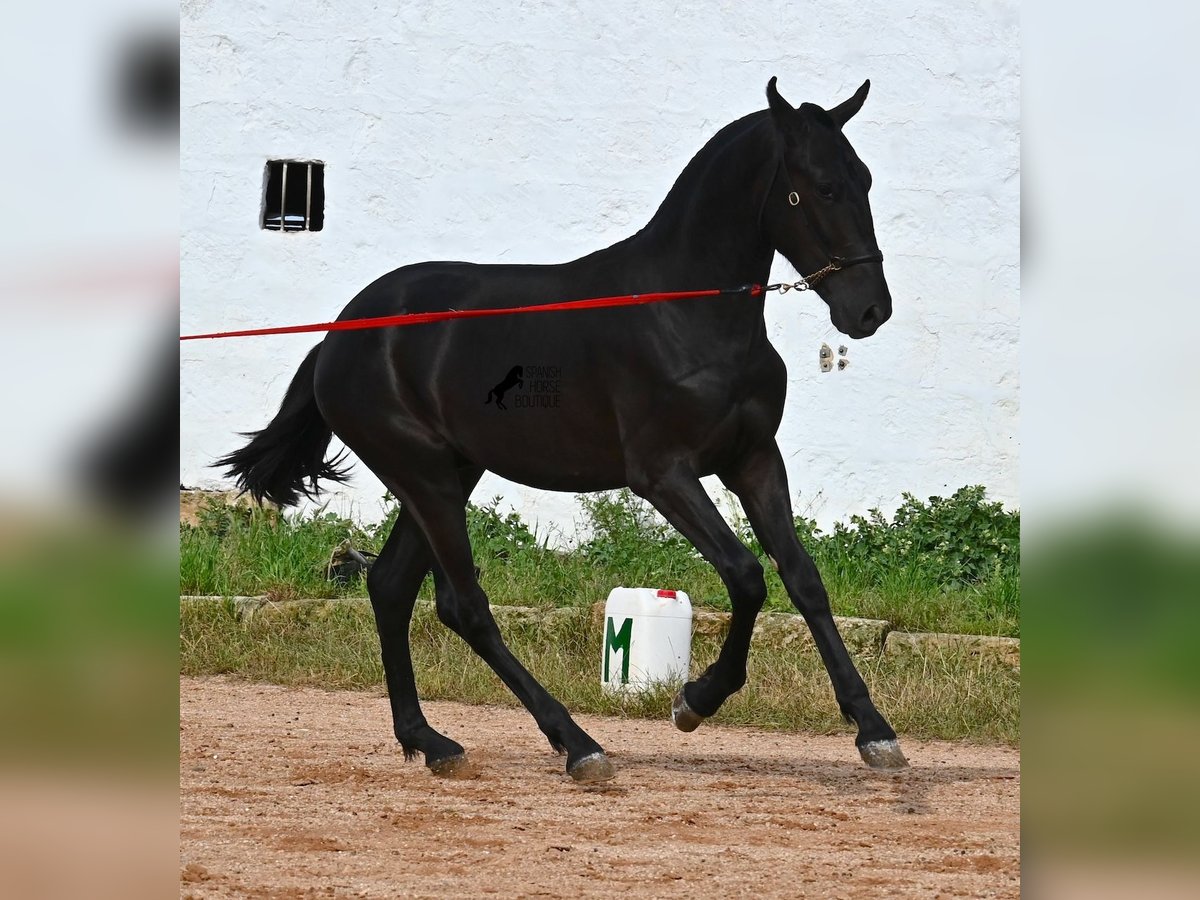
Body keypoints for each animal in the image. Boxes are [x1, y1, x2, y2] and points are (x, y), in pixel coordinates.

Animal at [219, 77, 906, 783]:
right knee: (463, 606)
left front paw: (873, 730)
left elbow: (803, 579)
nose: (869, 310)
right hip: (423, 474)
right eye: (822, 187)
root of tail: (337, 335)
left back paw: (430, 741)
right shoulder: (664, 473)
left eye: (865, 178)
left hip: (447, 472)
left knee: (390, 588)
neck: (683, 310)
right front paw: (695, 700)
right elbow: (746, 575)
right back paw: (577, 743)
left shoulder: (754, 459)